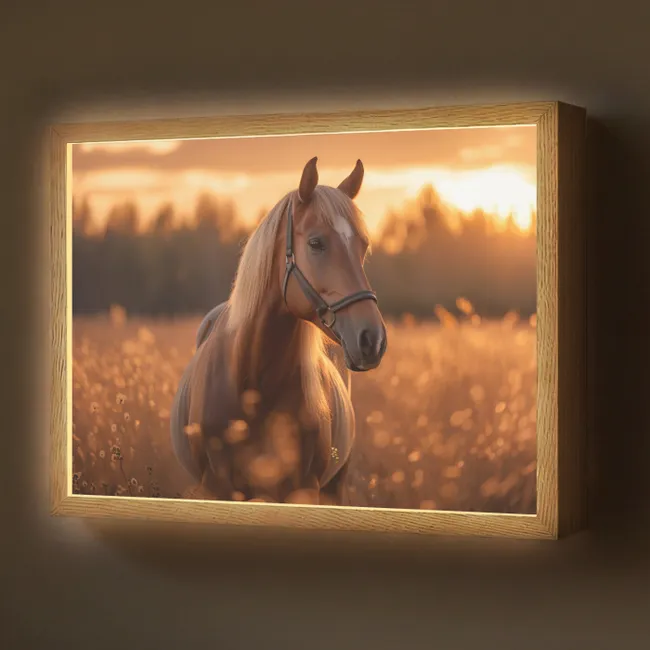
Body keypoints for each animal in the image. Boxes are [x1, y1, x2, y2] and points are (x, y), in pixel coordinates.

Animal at [170, 156, 387, 506]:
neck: (251, 381)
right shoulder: (218, 488)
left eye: (363, 246)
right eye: (316, 243)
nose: (373, 340)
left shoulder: (303, 489)